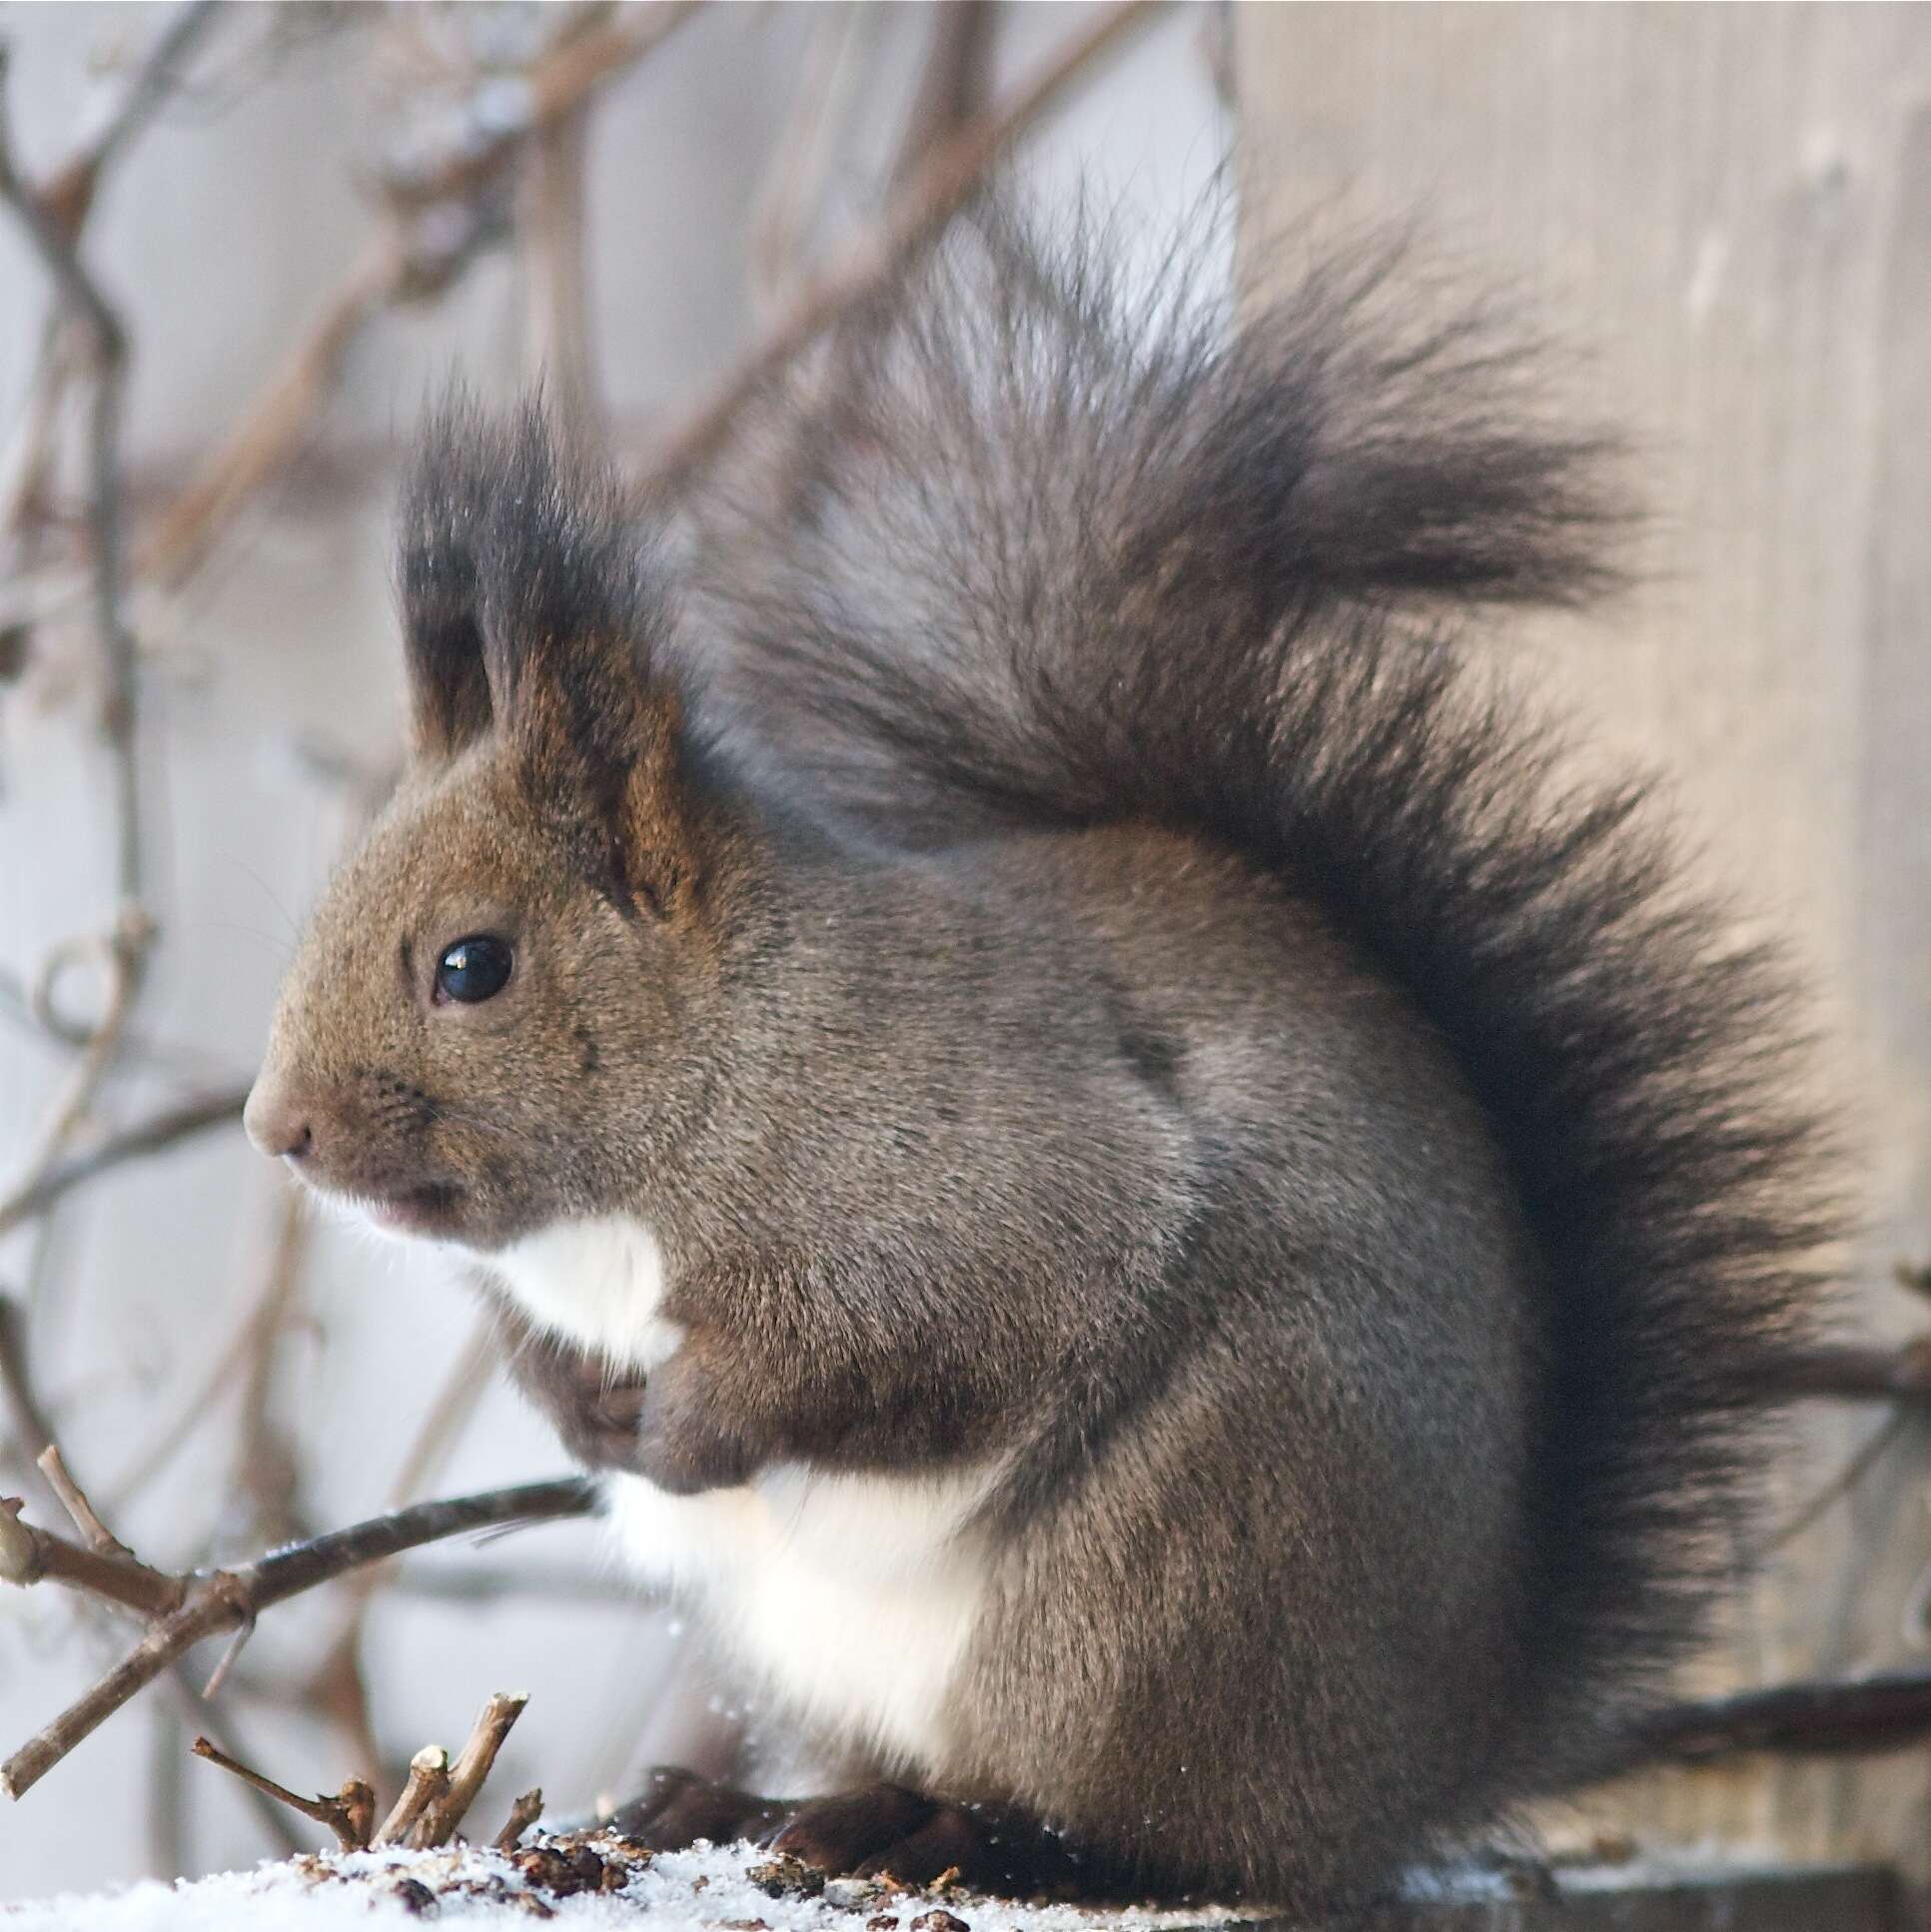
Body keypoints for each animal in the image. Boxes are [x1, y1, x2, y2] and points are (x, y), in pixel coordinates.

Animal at [249, 215, 1832, 1916]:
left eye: (470, 966)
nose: (277, 1130)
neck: (710, 1060)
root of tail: (1421, 1757)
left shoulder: (966, 1163)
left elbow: (939, 1322)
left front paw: (685, 1425)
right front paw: (576, 1407)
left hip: (1169, 1572)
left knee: (1155, 1827)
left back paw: (975, 1834)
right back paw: (761, 1805)